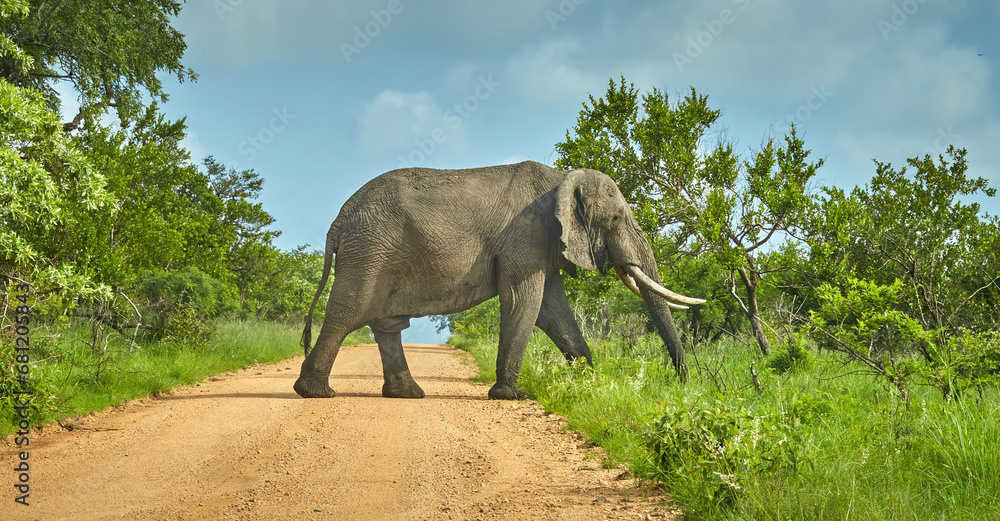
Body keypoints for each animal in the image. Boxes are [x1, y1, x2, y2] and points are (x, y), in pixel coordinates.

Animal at [294, 161, 705, 400]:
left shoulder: (543, 242)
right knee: (347, 312)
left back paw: (408, 395)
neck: (561, 179)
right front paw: (512, 396)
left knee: (387, 325)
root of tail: (338, 221)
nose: (683, 383)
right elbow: (526, 301)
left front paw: (590, 385)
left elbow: (553, 309)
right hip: (369, 253)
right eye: (617, 219)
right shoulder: (525, 235)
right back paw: (315, 393)